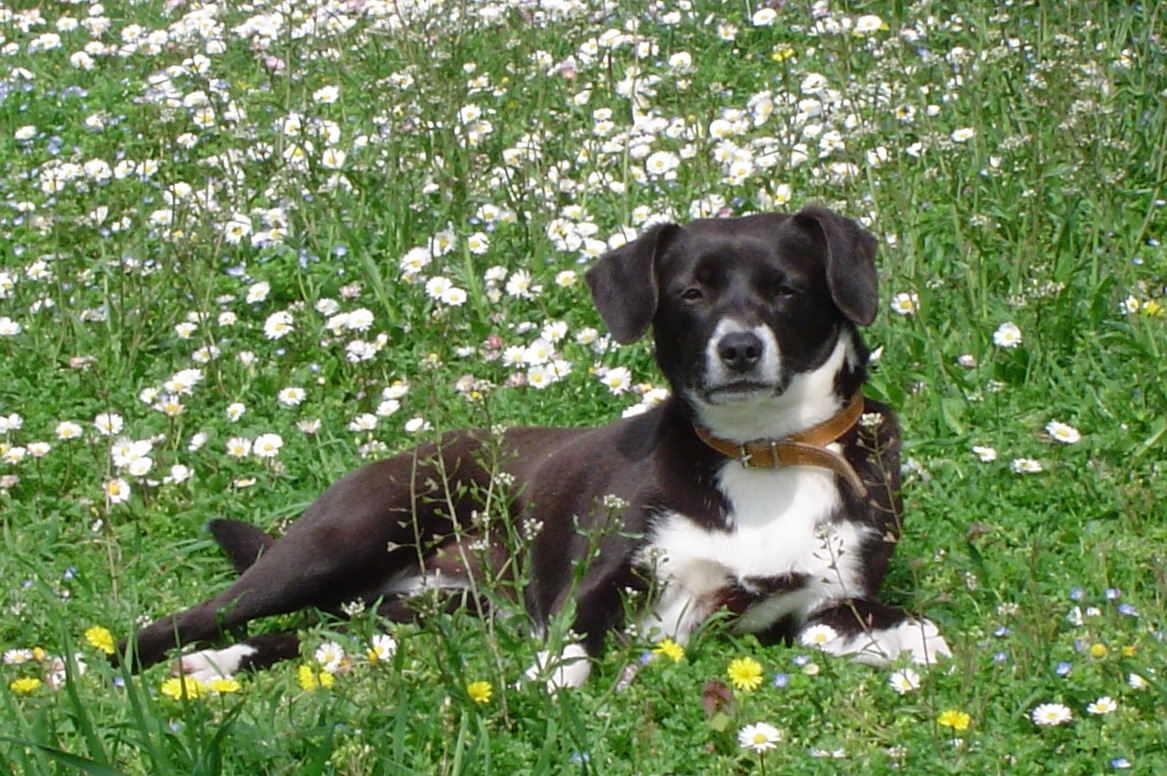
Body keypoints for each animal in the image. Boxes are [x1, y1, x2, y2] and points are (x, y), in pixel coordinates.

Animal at [118, 204, 947, 686]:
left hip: (425, 612)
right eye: (690, 293)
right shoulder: (587, 588)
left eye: (785, 289)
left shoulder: (819, 605)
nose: (738, 349)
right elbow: (567, 660)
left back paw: (217, 665)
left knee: (321, 635)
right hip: (341, 541)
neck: (762, 453)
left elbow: (902, 626)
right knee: (193, 619)